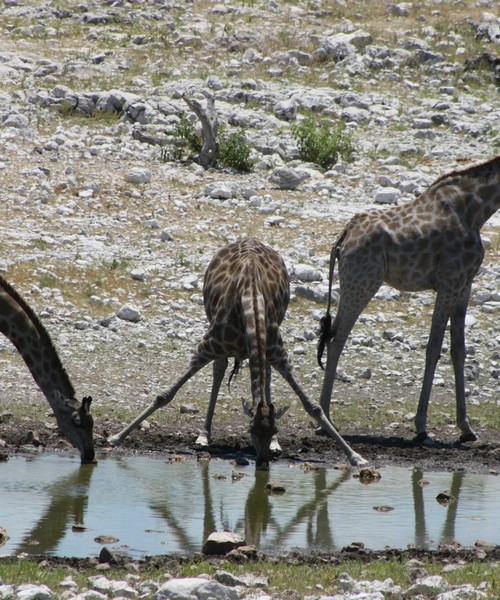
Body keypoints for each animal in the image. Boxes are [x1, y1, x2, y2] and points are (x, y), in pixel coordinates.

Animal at [108, 238, 368, 468]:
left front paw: (356, 456)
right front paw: (115, 437)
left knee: (265, 375)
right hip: (213, 327)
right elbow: (164, 395)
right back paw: (204, 435)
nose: (262, 463)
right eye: (250, 430)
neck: (251, 302)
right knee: (219, 370)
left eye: (274, 429)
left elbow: (312, 406)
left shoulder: (277, 350)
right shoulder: (208, 345)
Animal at [318, 154, 498, 446]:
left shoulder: (465, 285)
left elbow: (458, 351)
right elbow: (433, 349)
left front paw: (466, 428)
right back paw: (325, 420)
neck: (475, 209)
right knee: (336, 340)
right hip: (362, 283)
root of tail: (343, 237)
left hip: (355, 284)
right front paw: (422, 427)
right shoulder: (449, 282)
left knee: (331, 336)